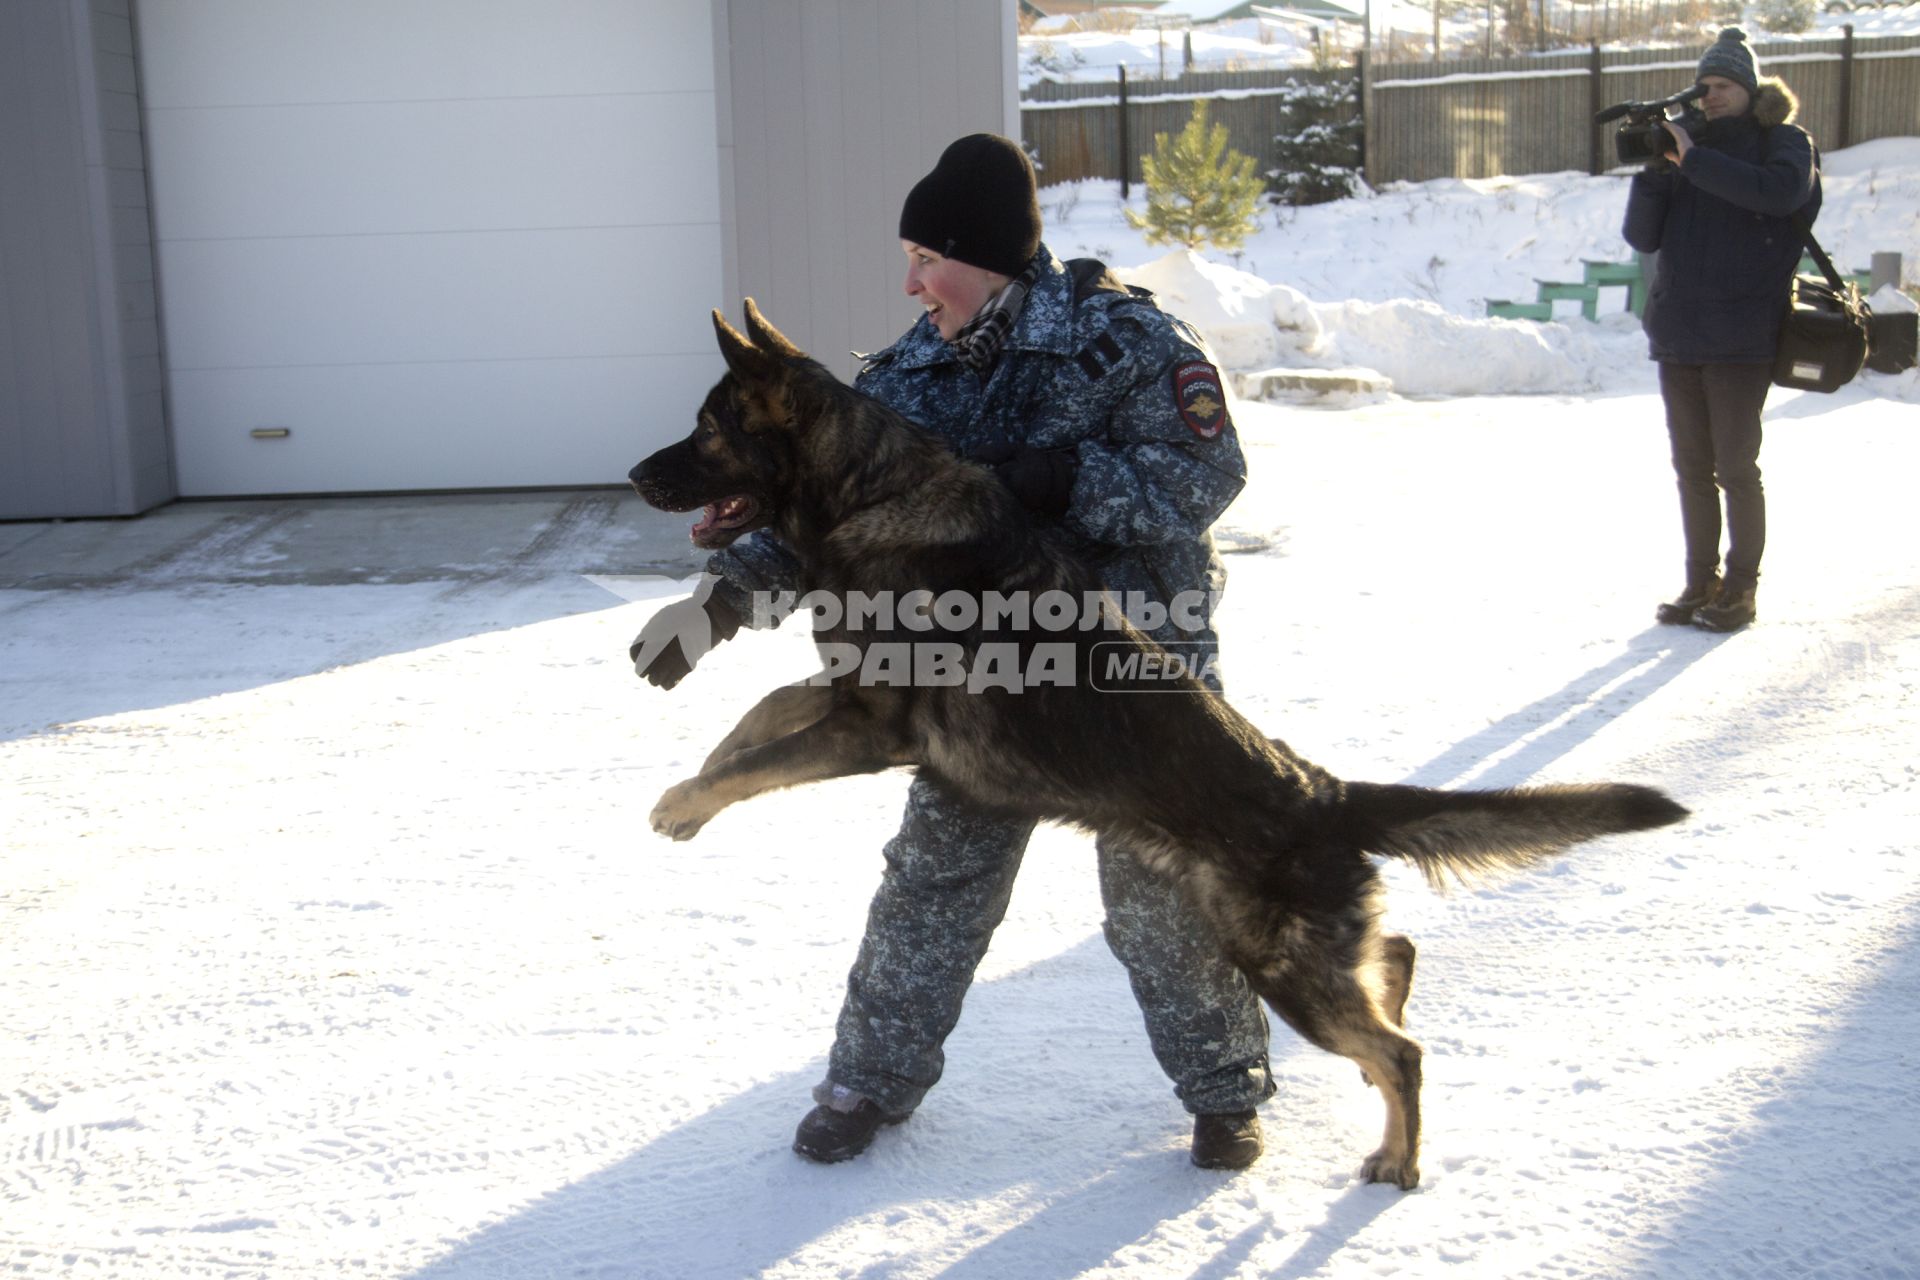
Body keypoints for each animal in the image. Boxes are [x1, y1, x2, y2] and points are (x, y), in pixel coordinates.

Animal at [629, 301, 1681, 1189]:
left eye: (709, 430)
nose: (637, 476)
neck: (865, 492)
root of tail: (1325, 793)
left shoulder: (871, 726)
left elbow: (763, 756)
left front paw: (685, 801)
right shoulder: (846, 699)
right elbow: (759, 714)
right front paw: (699, 773)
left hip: (1281, 969)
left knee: (1402, 1052)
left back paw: (1399, 1159)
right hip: (1287, 951)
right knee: (1399, 958)